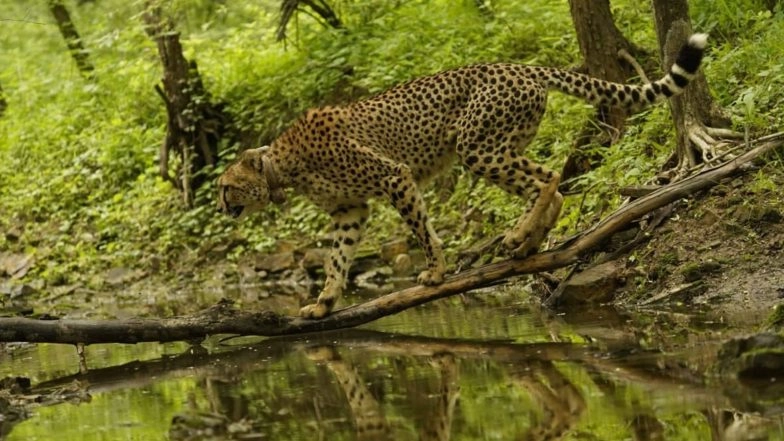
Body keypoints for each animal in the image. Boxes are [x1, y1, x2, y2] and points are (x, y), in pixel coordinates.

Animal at [218, 33, 708, 319]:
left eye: (226, 186)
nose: (222, 205)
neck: (282, 166)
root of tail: (520, 65)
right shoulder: (349, 210)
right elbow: (337, 258)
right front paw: (324, 302)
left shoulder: (394, 176)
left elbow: (421, 229)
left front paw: (435, 272)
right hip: (499, 144)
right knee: (550, 185)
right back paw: (529, 243)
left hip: (477, 147)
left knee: (548, 176)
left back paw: (518, 236)